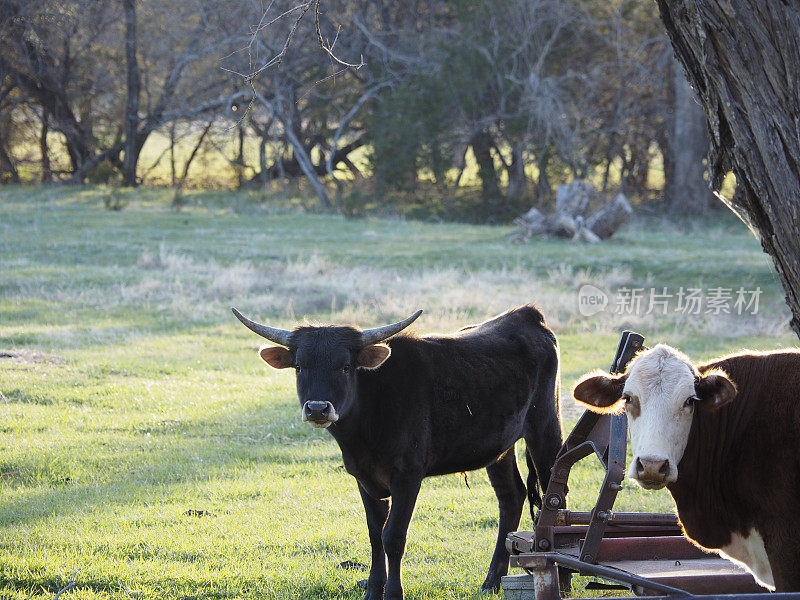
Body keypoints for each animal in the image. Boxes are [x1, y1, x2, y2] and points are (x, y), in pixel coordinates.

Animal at [233, 304, 564, 600]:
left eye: (346, 366)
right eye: (300, 366)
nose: (317, 409)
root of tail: (527, 315)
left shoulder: (407, 476)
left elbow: (393, 536)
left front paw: (393, 593)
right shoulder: (363, 478)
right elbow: (374, 535)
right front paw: (372, 592)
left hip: (545, 427)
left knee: (554, 497)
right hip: (500, 449)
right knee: (511, 497)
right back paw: (492, 581)